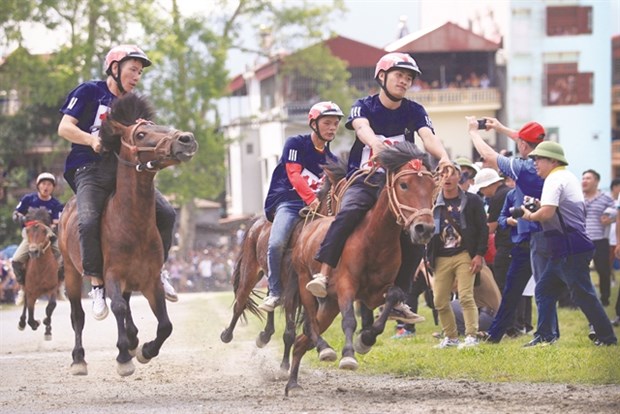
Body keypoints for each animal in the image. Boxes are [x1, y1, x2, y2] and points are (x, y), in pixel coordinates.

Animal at [17, 207, 58, 340]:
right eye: (28, 231)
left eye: (44, 231)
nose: (33, 251)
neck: (41, 268)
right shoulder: (31, 292)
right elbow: (30, 314)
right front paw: (35, 323)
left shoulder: (52, 288)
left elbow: (51, 306)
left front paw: (47, 327)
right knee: (25, 303)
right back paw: (22, 323)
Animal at [59, 93, 197, 376]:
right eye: (141, 133)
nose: (186, 139)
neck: (132, 225)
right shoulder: (112, 275)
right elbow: (118, 308)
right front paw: (123, 357)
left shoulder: (150, 280)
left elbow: (165, 324)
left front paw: (144, 350)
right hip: (71, 272)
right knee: (78, 315)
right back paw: (79, 359)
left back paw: (133, 340)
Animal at [220, 156, 348, 372]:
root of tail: (256, 223)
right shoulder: (294, 286)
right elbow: (290, 328)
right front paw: (284, 366)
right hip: (251, 270)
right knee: (240, 302)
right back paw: (227, 334)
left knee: (271, 297)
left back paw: (265, 335)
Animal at [284, 142, 436, 394]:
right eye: (404, 184)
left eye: (432, 186)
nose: (425, 228)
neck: (375, 238)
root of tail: (308, 228)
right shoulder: (347, 285)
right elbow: (349, 320)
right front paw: (348, 356)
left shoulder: (379, 291)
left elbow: (389, 303)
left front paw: (365, 340)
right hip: (306, 284)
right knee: (310, 324)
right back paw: (324, 349)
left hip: (330, 306)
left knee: (301, 341)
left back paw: (293, 383)